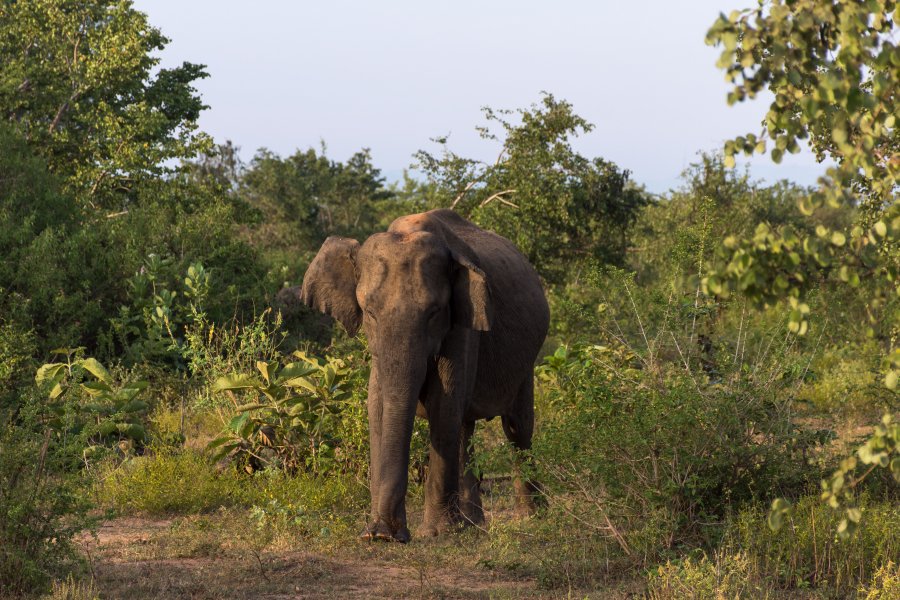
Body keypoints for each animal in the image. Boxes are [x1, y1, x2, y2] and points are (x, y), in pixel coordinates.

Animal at [300, 209, 548, 540]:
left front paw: (436, 534)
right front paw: (379, 533)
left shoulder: (462, 326)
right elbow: (378, 408)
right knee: (465, 428)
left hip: (526, 362)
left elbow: (443, 407)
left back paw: (532, 517)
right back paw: (473, 525)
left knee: (516, 429)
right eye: (370, 313)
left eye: (434, 313)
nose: (383, 533)